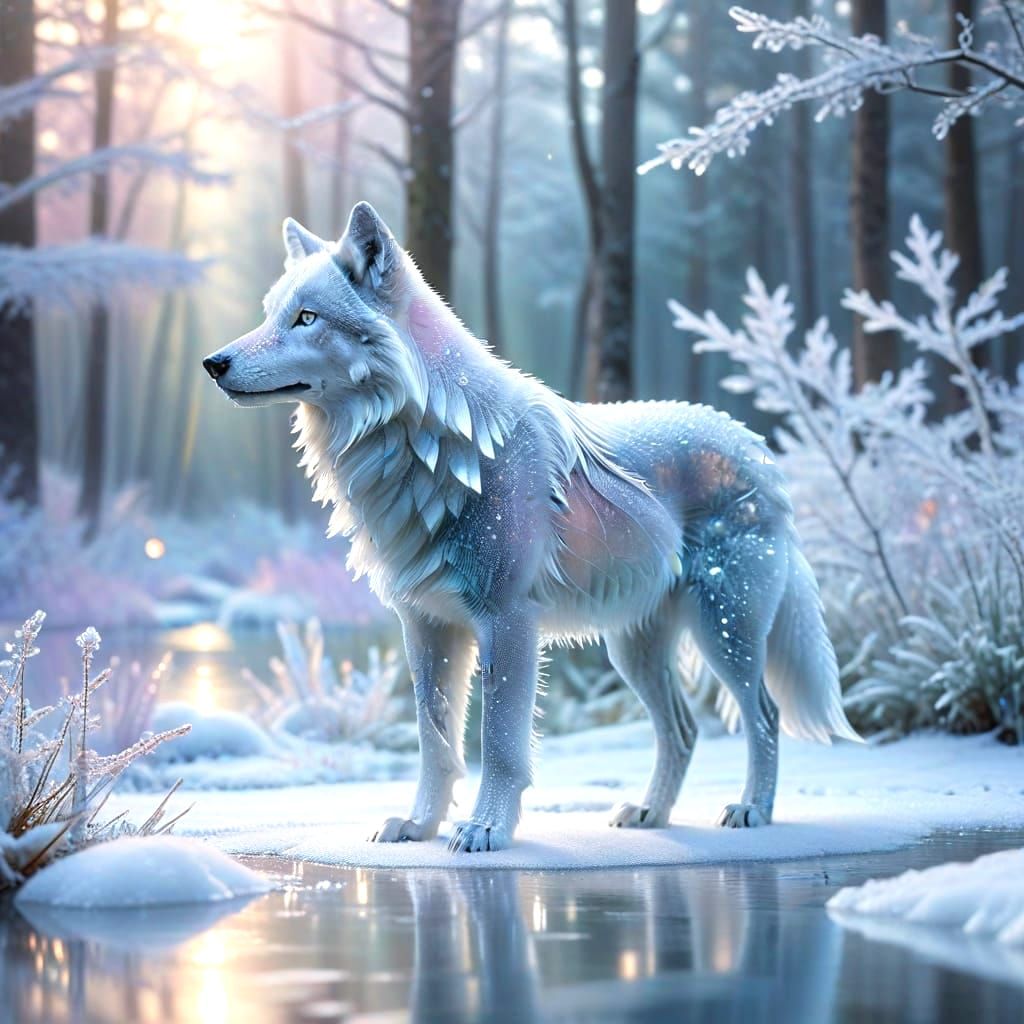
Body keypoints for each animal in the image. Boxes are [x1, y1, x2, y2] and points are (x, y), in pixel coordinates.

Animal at [203, 202, 859, 852]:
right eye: (271, 315)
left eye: (306, 318)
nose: (213, 363)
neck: (435, 443)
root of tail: (759, 449)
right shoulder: (425, 627)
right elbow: (434, 741)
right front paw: (419, 826)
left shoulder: (508, 621)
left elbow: (499, 744)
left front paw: (486, 829)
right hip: (634, 648)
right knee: (684, 728)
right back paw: (650, 813)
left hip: (726, 633)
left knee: (764, 714)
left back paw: (753, 809)